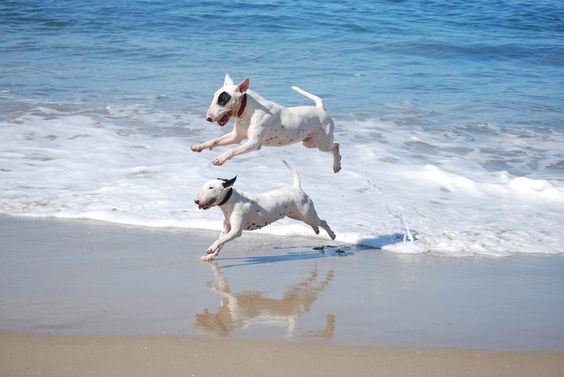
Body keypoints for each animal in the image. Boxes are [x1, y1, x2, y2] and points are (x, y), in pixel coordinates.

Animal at [192, 74, 342, 173]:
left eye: (222, 100)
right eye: (213, 98)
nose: (208, 118)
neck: (247, 110)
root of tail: (320, 108)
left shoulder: (253, 143)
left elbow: (232, 150)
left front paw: (220, 158)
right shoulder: (236, 137)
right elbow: (215, 140)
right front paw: (200, 146)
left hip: (322, 142)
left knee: (335, 146)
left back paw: (337, 165)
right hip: (309, 143)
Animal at [194, 160, 334, 260]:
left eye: (211, 187)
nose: (196, 201)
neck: (230, 201)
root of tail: (296, 188)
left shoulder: (235, 231)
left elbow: (220, 240)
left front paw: (211, 249)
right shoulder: (227, 229)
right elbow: (221, 242)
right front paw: (211, 255)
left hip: (306, 214)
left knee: (323, 222)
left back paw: (332, 234)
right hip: (297, 215)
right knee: (316, 223)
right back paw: (316, 230)